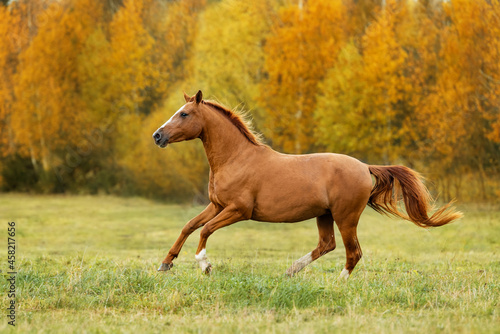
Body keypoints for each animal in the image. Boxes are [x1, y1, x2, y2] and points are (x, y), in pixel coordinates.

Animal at [150, 90, 462, 278]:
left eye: (184, 114)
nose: (157, 136)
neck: (236, 158)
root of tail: (364, 167)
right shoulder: (217, 205)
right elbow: (189, 226)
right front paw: (166, 263)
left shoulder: (238, 210)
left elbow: (205, 230)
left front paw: (205, 265)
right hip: (324, 215)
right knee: (327, 245)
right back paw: (290, 271)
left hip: (346, 217)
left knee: (353, 252)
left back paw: (338, 282)